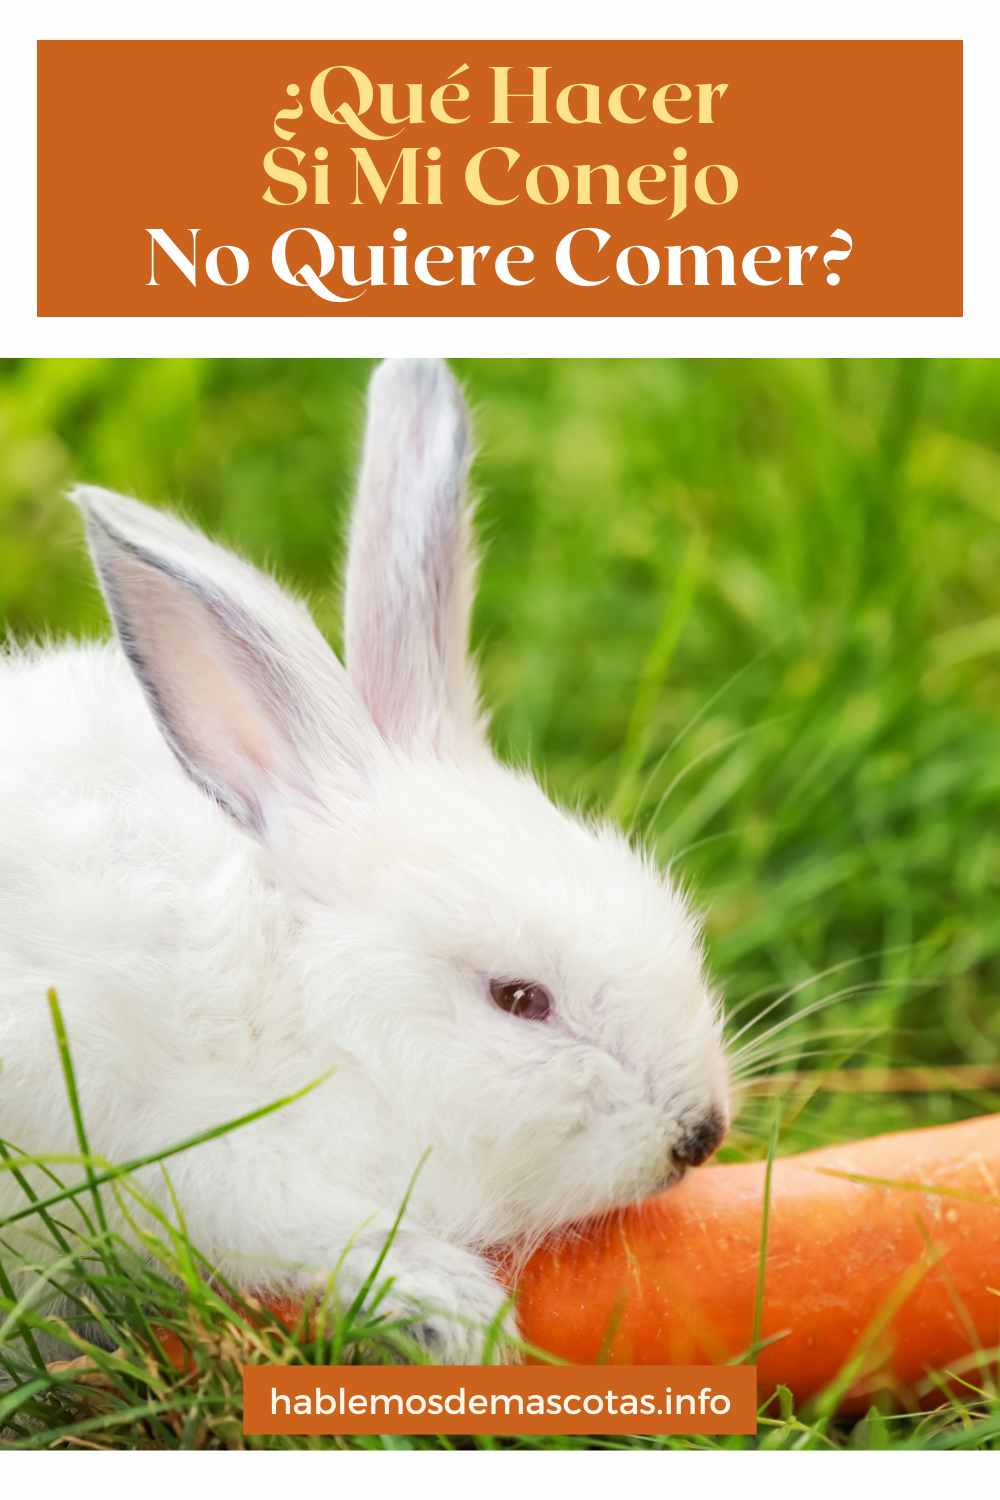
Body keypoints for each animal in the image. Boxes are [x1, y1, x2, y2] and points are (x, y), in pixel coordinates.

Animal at [0, 359, 730, 1363]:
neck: (316, 1014)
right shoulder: (216, 1162)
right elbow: (327, 1236)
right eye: (520, 999)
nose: (701, 1133)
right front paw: (463, 1316)